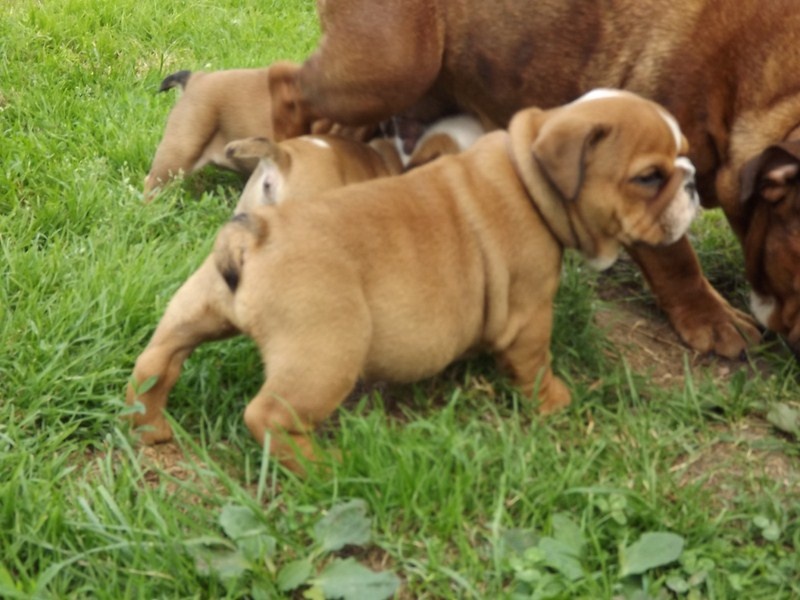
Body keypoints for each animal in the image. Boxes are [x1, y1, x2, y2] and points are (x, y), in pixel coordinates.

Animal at [128, 91, 699, 472]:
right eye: (649, 177)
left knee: (156, 363)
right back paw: (324, 467)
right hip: (325, 354)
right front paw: (556, 402)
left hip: (195, 307)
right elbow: (535, 364)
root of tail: (259, 232)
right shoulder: (530, 313)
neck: (529, 173)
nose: (692, 182)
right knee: (268, 415)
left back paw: (150, 428)